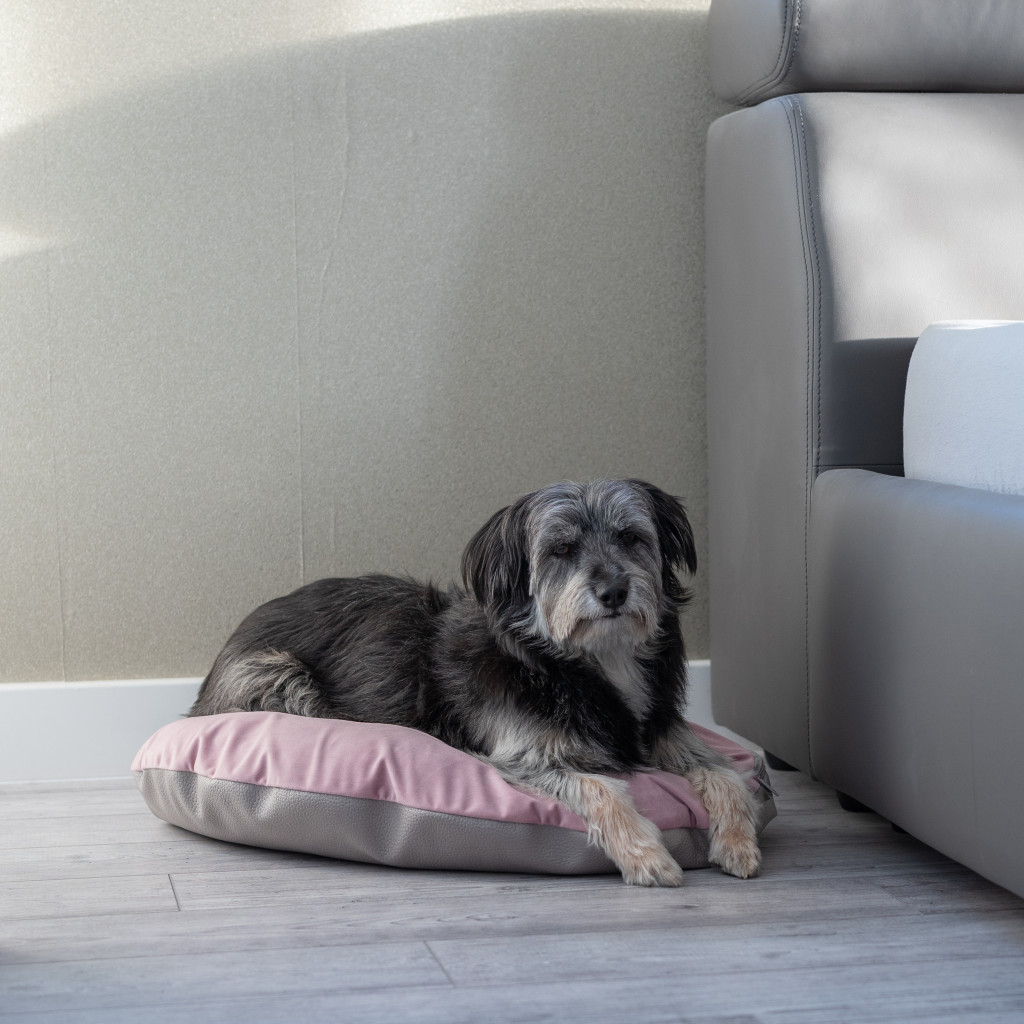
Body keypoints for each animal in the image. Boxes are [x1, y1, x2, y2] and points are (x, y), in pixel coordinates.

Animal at [189, 479, 760, 886]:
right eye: (561, 550)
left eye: (631, 537)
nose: (614, 592)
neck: (589, 658)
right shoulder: (528, 755)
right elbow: (605, 790)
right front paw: (648, 857)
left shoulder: (665, 733)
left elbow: (729, 775)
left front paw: (738, 842)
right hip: (278, 675)